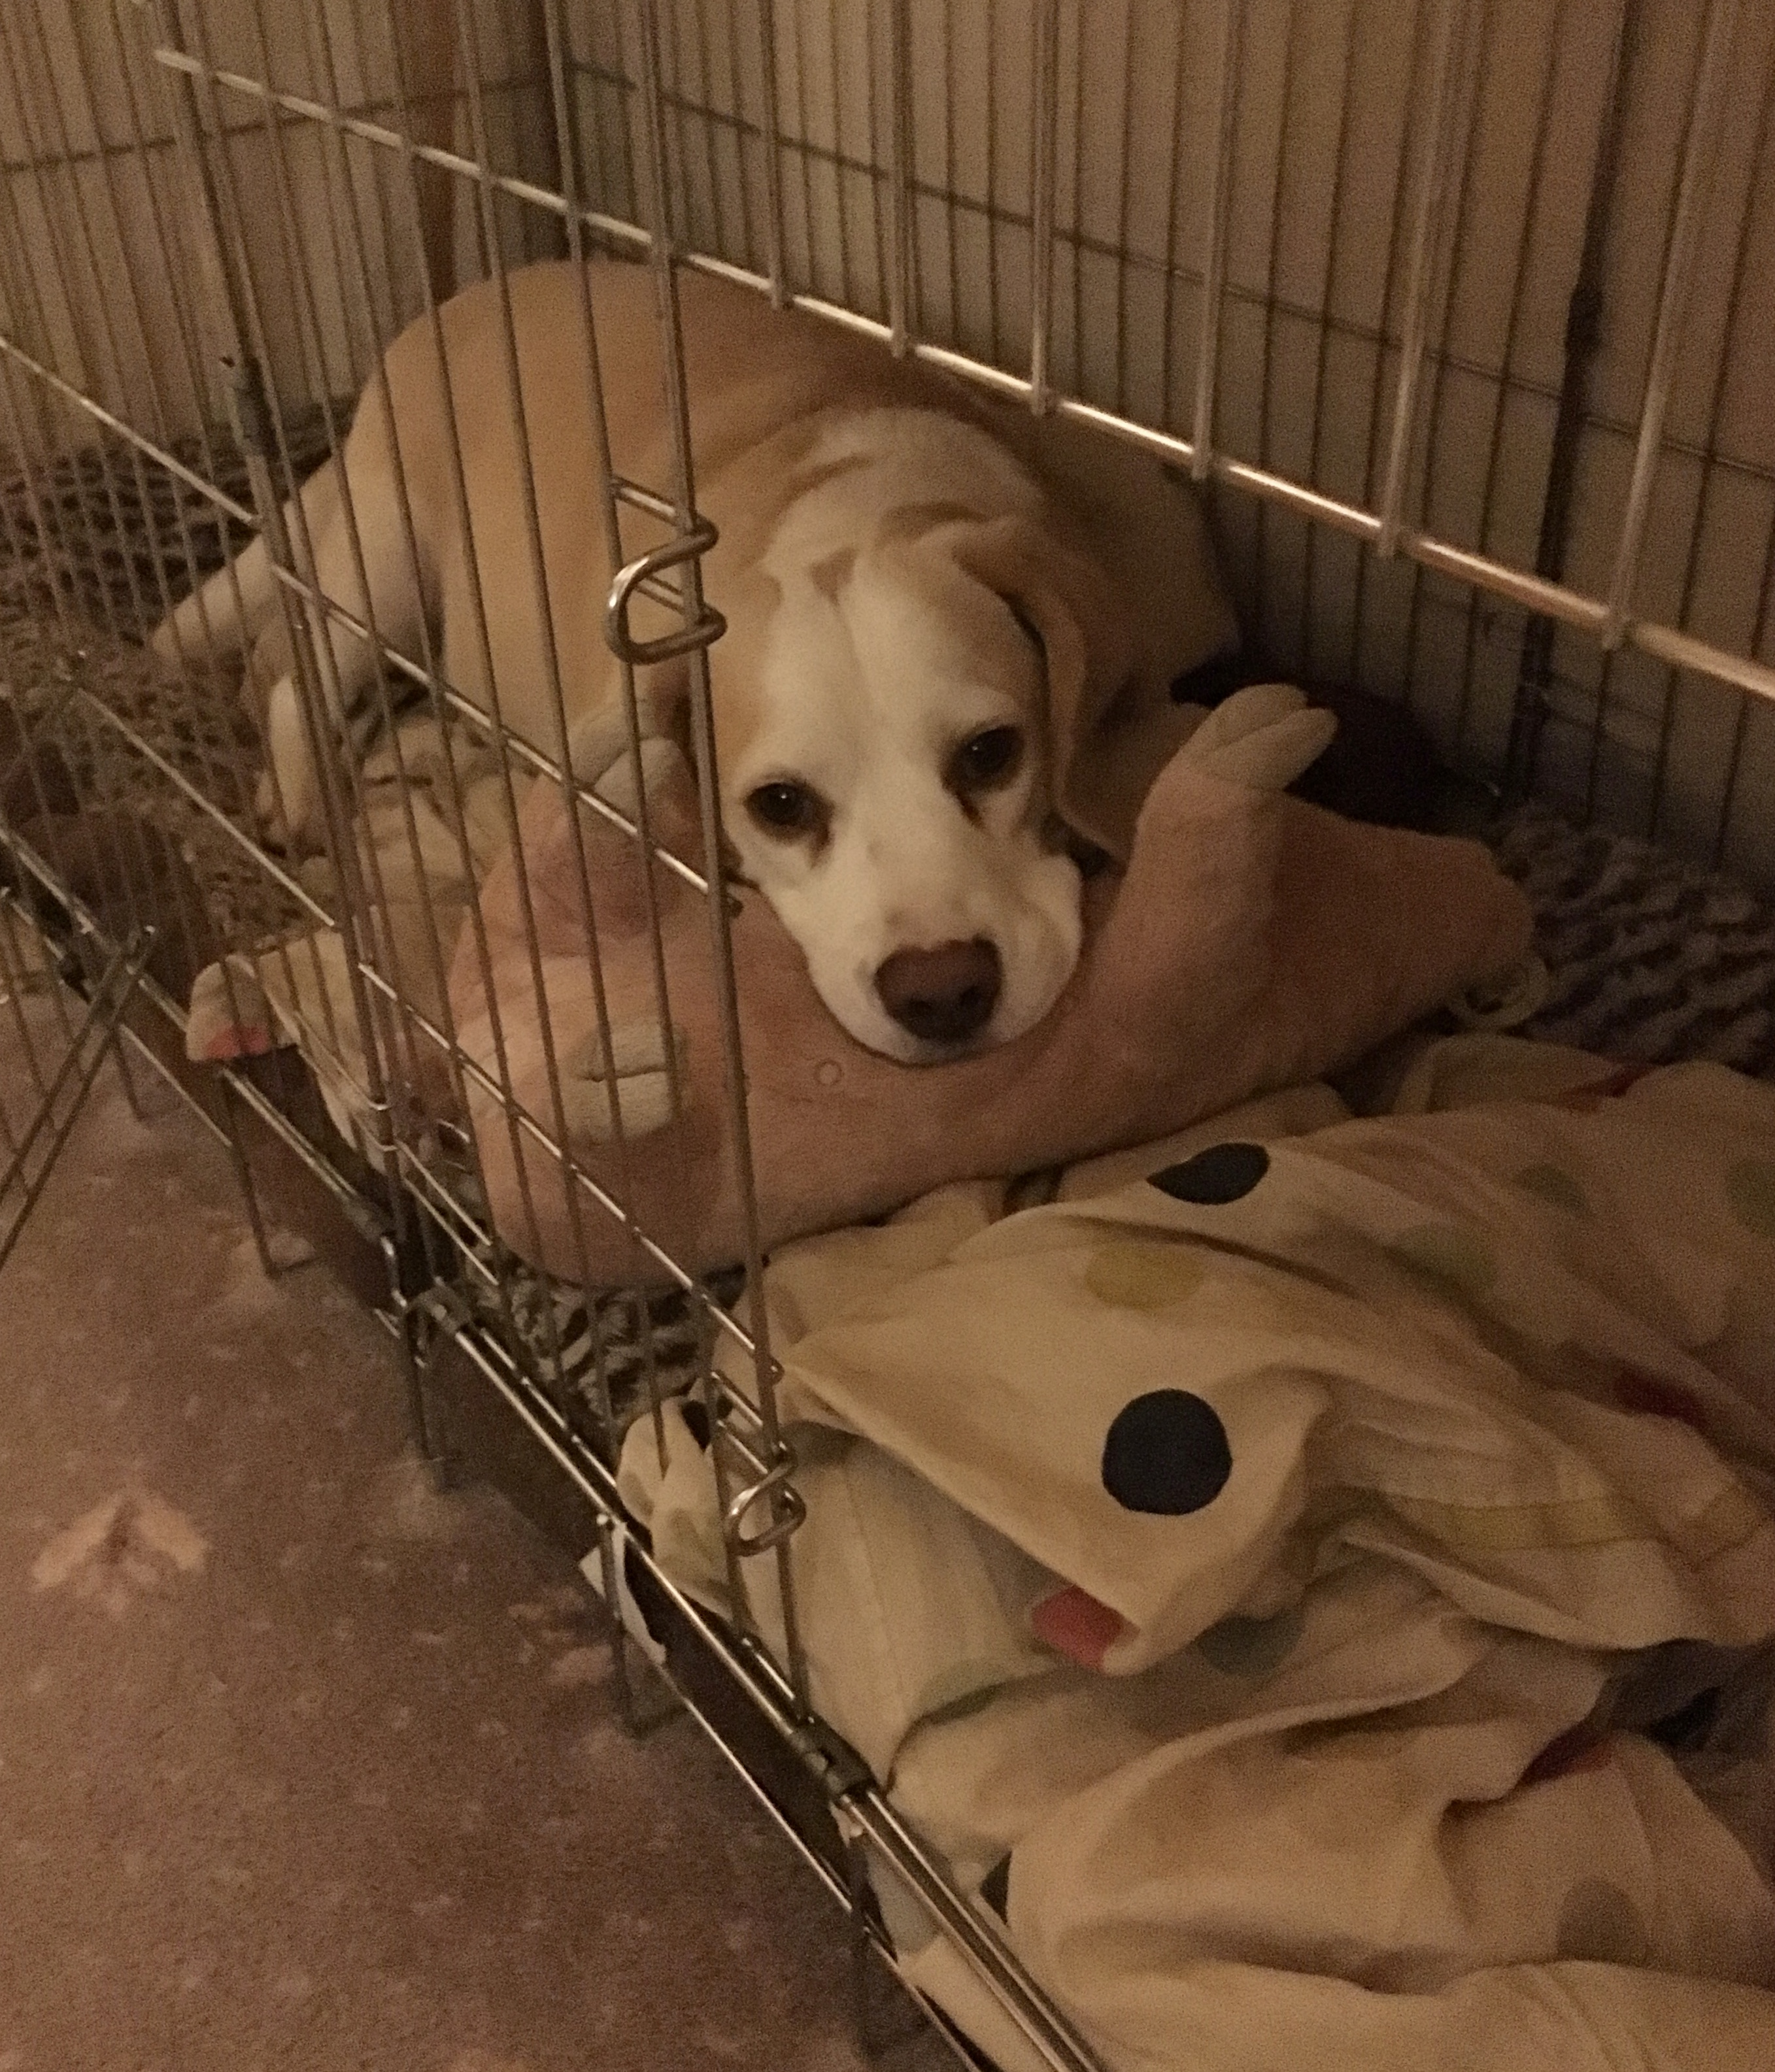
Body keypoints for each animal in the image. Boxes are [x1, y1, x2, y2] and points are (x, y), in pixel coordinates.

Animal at [153, 259, 1241, 1063]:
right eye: (781, 806)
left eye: (990, 752)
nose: (942, 993)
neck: (844, 504)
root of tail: (468, 295)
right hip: (379, 561)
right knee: (288, 670)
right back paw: (299, 794)